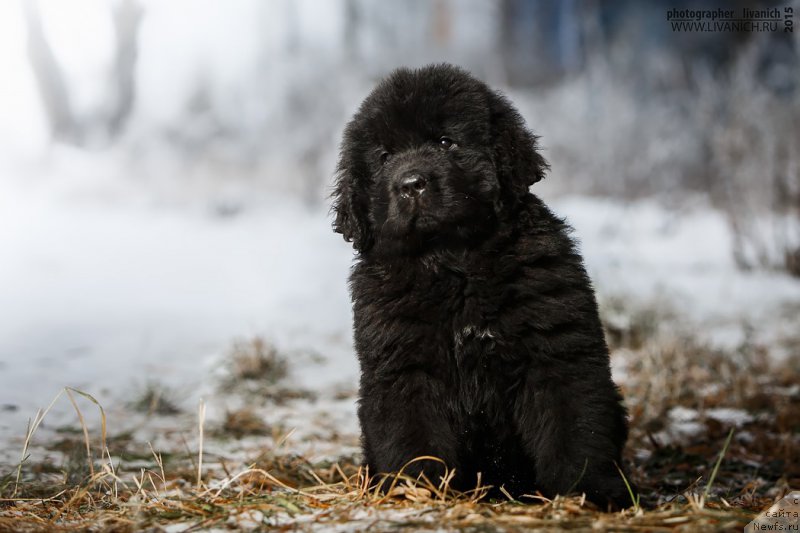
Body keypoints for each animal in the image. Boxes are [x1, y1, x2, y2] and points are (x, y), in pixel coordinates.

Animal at [332, 64, 632, 510]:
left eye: (445, 142)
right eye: (384, 157)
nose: (410, 183)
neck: (454, 264)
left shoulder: (556, 352)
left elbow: (575, 428)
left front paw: (589, 492)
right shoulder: (405, 367)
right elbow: (412, 438)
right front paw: (416, 490)